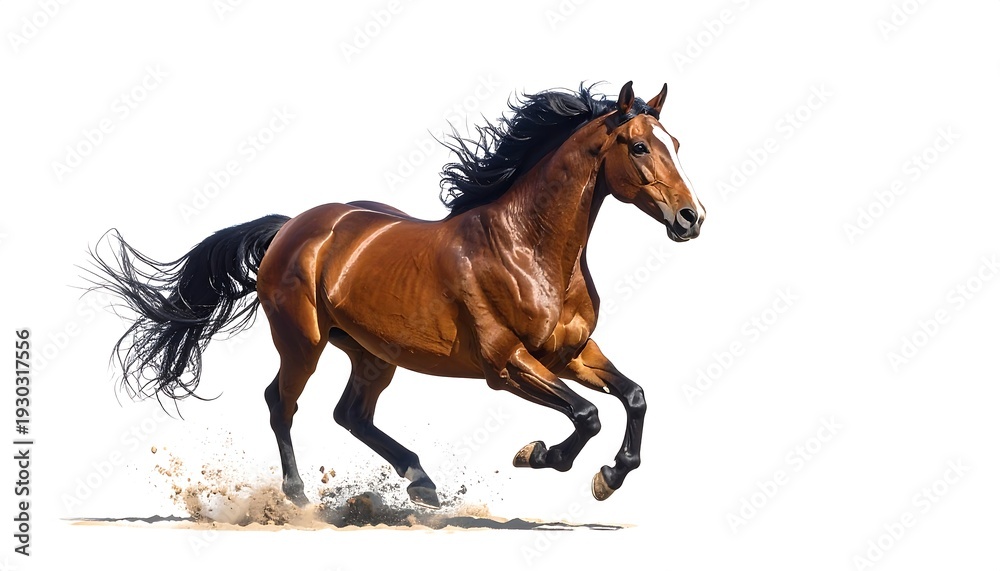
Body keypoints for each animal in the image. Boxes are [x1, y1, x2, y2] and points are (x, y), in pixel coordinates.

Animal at [88, 81, 705, 510]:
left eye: (676, 143)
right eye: (640, 146)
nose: (691, 218)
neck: (528, 248)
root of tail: (292, 228)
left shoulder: (571, 354)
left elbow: (633, 397)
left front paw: (610, 476)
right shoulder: (506, 364)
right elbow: (586, 415)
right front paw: (539, 455)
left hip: (372, 353)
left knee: (350, 414)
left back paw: (422, 484)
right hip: (303, 342)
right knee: (280, 403)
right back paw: (298, 495)